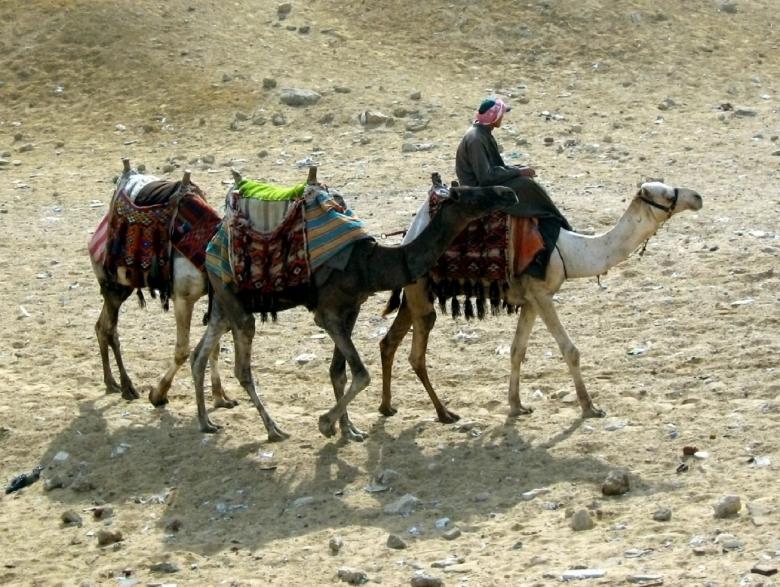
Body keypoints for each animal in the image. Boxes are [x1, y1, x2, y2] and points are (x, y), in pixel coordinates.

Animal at [91, 159, 236, 410]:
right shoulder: (183, 299)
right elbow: (183, 350)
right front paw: (158, 394)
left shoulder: (214, 299)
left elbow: (214, 348)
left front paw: (220, 397)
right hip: (111, 284)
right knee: (110, 329)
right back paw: (127, 387)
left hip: (123, 286)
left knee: (102, 326)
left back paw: (112, 383)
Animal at [189, 174, 518, 442]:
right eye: (472, 194)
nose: (509, 193)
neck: (369, 264)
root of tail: (213, 243)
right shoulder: (327, 314)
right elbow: (361, 373)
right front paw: (326, 424)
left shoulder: (352, 309)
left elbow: (339, 372)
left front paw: (348, 429)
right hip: (233, 300)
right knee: (242, 366)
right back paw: (273, 429)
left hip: (223, 302)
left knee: (199, 354)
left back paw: (206, 422)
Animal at [378, 181, 703, 423]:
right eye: (668, 194)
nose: (698, 197)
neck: (570, 250)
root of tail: (407, 235)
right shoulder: (542, 294)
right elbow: (570, 350)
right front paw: (590, 407)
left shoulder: (530, 302)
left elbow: (516, 351)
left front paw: (516, 406)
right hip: (421, 294)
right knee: (416, 355)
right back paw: (444, 413)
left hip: (414, 295)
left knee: (389, 342)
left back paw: (387, 407)